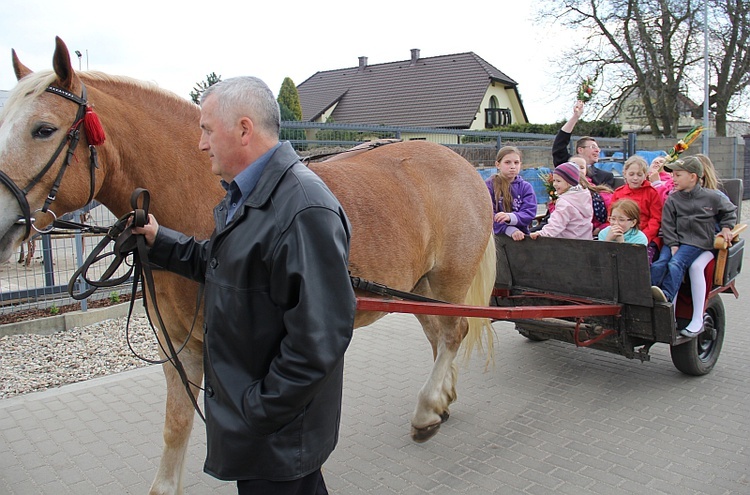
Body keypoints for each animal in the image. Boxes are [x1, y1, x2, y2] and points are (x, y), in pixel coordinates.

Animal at [0, 36, 500, 494]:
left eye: (43, 129)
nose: (1, 219)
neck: (202, 194)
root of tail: (462, 164)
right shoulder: (178, 345)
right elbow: (176, 423)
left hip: (447, 281)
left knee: (453, 333)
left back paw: (427, 407)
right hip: (418, 288)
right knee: (440, 336)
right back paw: (442, 401)